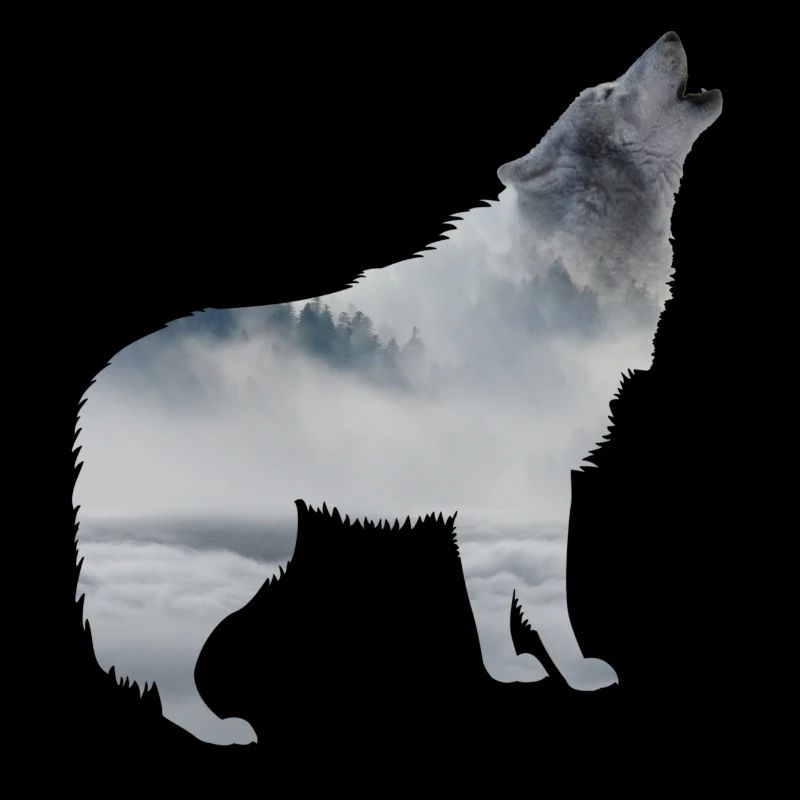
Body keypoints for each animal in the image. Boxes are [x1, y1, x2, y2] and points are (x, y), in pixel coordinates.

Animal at [74, 31, 722, 743]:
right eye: (606, 92)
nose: (670, 35)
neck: (565, 267)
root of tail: (100, 385)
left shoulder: (496, 501)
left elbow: (491, 592)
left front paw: (508, 673)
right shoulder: (536, 485)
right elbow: (550, 596)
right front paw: (577, 676)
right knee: (158, 651)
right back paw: (217, 730)